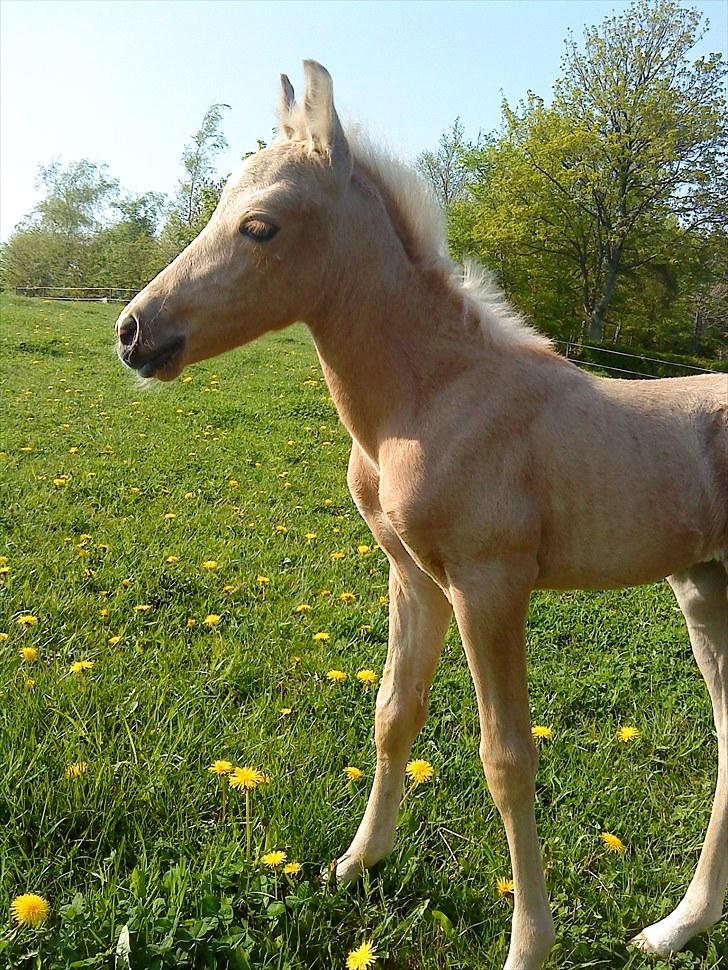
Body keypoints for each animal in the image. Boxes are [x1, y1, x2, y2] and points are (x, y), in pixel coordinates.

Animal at [115, 60, 728, 968]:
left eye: (259, 227)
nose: (133, 331)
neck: (431, 395)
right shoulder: (414, 576)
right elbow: (392, 714)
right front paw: (357, 863)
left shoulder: (489, 584)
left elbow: (506, 759)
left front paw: (527, 945)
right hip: (701, 587)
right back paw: (678, 925)